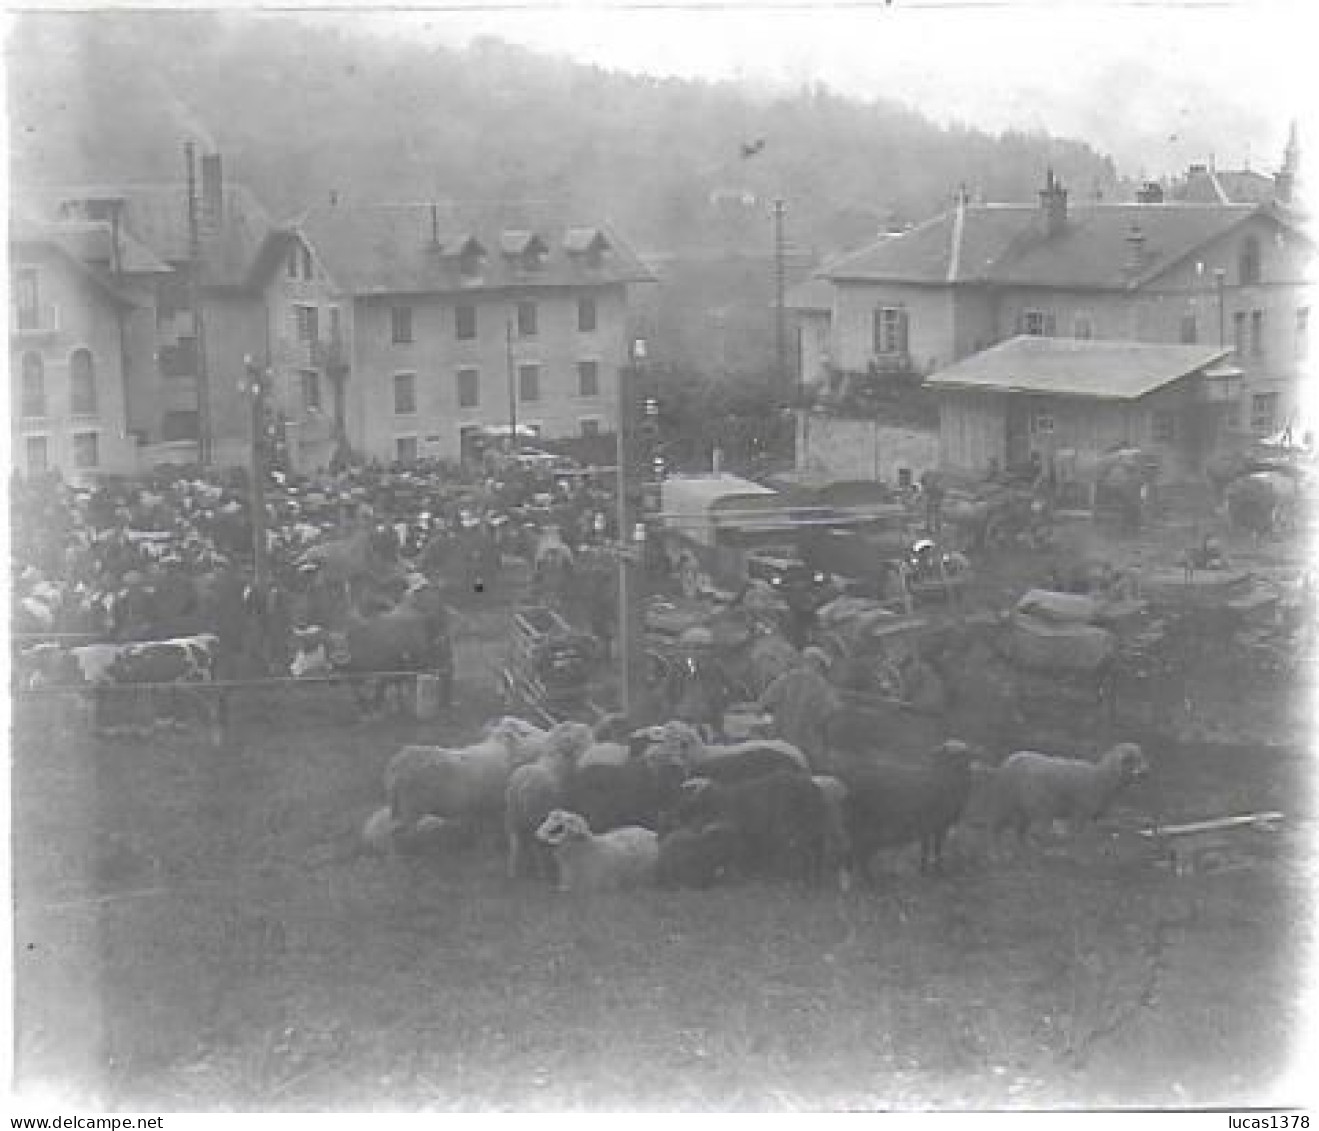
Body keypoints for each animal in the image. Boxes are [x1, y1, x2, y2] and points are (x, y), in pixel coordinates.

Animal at [986, 739, 1150, 844]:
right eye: (1133, 760)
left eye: (1142, 758)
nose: (1146, 772)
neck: (1101, 779)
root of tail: (1007, 762)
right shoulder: (1080, 812)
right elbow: (1076, 836)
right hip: (1009, 803)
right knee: (996, 828)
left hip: (1024, 809)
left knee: (1019, 831)